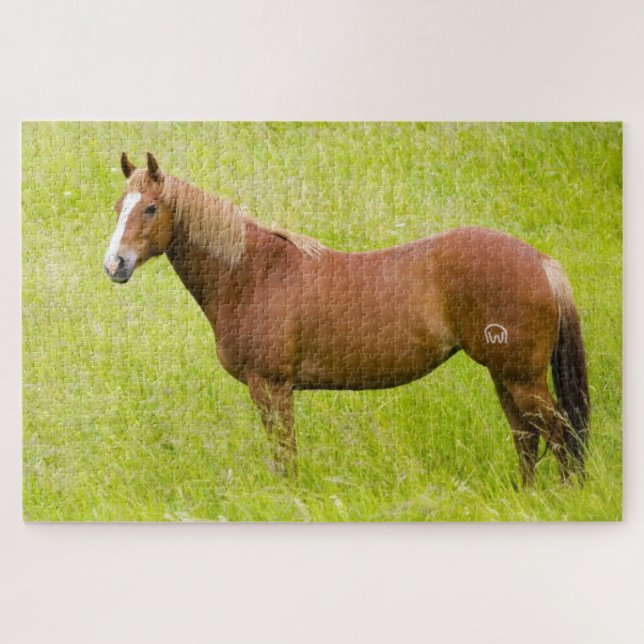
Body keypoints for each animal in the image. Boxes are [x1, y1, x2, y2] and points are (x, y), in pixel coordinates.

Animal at [104, 152, 590, 486]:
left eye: (150, 208)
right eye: (117, 207)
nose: (115, 264)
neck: (252, 273)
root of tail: (539, 261)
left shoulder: (271, 387)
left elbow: (285, 455)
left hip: (521, 377)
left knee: (559, 435)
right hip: (505, 375)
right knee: (526, 438)